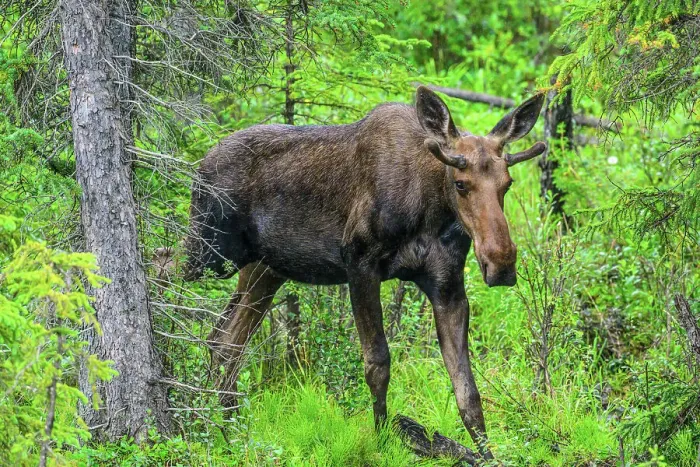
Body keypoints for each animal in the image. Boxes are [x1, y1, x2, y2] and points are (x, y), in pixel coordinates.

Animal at [184, 86, 546, 459]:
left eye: (507, 183)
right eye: (461, 184)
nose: (501, 263)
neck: (430, 211)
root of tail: (199, 166)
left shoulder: (448, 287)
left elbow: (467, 389)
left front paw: (487, 457)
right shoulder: (359, 264)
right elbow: (378, 363)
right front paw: (381, 439)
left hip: (264, 270)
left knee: (225, 341)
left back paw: (224, 429)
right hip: (208, 251)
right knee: (173, 274)